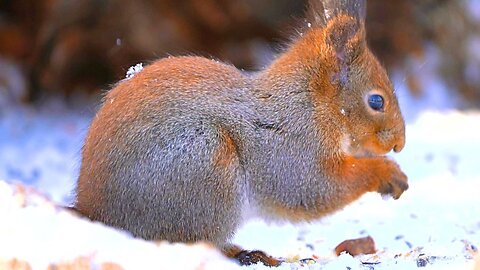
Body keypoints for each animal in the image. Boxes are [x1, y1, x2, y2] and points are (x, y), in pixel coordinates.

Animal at [75, 0, 408, 266]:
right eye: (376, 101)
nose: (400, 143)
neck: (309, 102)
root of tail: (97, 214)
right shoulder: (290, 148)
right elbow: (313, 189)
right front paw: (387, 173)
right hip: (204, 165)